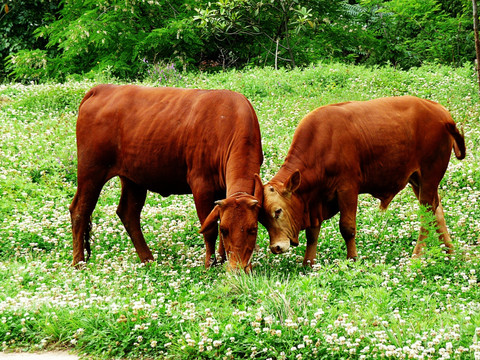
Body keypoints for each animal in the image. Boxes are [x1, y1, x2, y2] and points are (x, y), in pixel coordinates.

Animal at [69, 83, 262, 270]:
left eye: (253, 229)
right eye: (226, 230)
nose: (238, 267)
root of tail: (102, 88)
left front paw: (221, 261)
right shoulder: (201, 184)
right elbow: (209, 229)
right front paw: (210, 265)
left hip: (134, 178)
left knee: (128, 213)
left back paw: (148, 260)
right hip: (91, 170)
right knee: (80, 210)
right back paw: (78, 263)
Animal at [260, 95, 466, 264]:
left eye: (277, 211)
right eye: (261, 218)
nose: (276, 247)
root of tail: (442, 113)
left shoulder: (348, 188)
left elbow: (347, 228)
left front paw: (352, 259)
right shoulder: (315, 200)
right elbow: (312, 233)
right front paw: (308, 264)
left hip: (430, 175)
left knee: (427, 214)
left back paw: (417, 255)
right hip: (418, 180)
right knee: (437, 211)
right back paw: (449, 252)